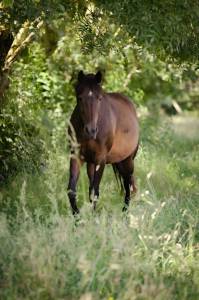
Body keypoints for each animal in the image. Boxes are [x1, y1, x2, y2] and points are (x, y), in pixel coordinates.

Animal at [67, 71, 139, 214]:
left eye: (99, 98)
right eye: (80, 98)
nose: (91, 130)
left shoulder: (101, 160)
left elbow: (95, 193)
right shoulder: (76, 156)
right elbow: (72, 190)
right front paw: (77, 216)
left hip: (127, 161)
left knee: (128, 186)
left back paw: (125, 213)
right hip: (93, 163)